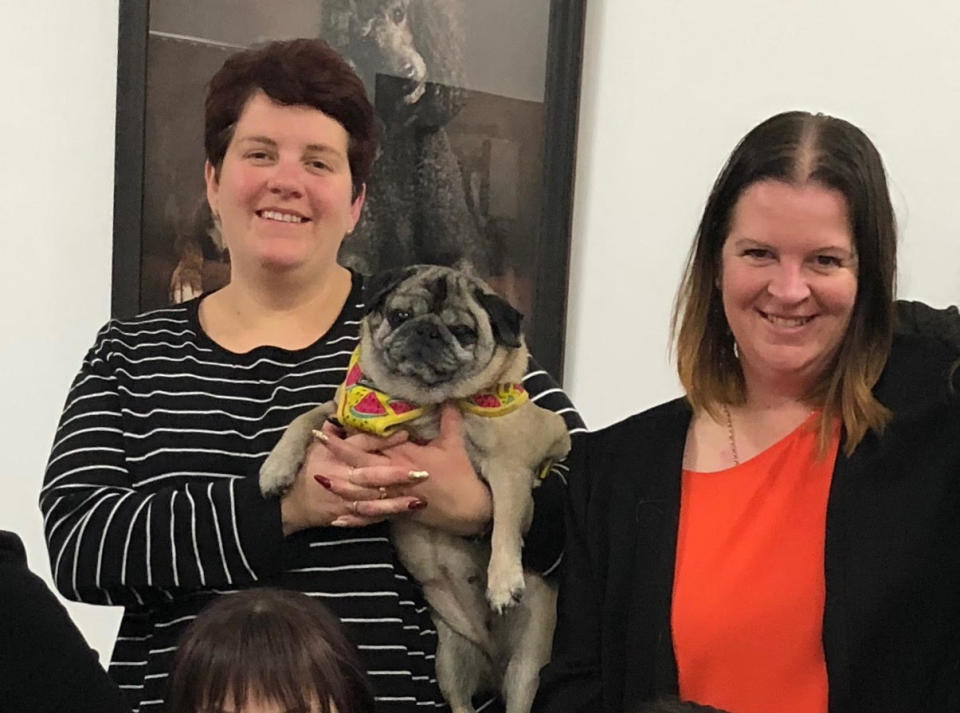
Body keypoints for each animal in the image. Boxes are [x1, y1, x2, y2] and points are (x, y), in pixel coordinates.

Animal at [258, 266, 568, 712]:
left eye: (463, 331)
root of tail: (492, 664)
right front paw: (277, 467)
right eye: (400, 315)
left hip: (526, 669)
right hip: (449, 660)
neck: (421, 407)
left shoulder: (510, 468)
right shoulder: (339, 412)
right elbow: (306, 417)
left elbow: (505, 525)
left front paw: (503, 581)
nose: (426, 330)